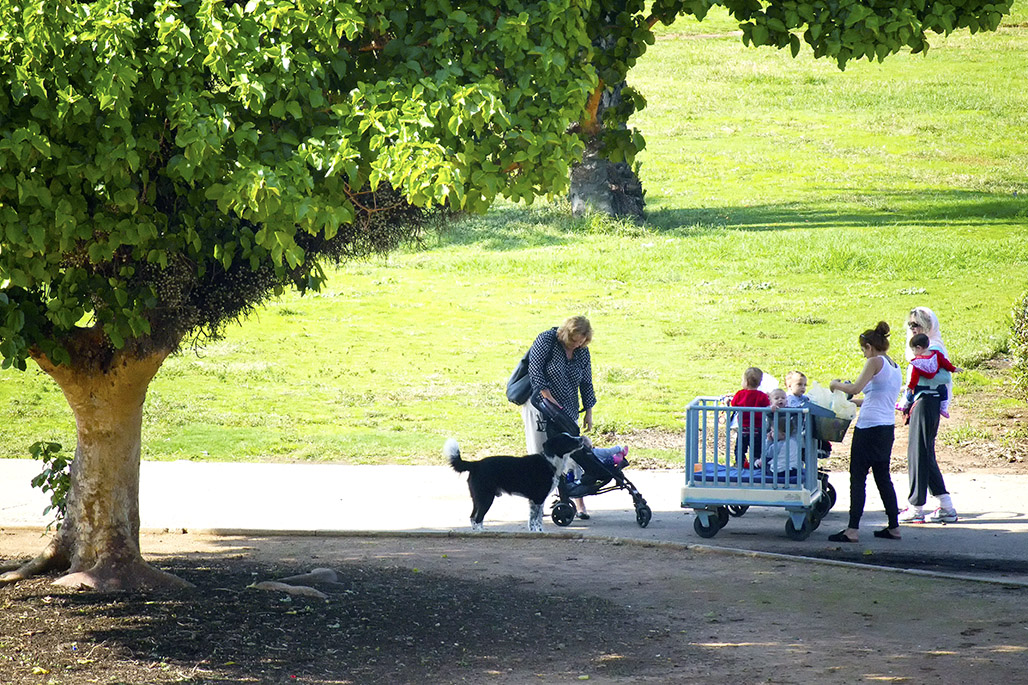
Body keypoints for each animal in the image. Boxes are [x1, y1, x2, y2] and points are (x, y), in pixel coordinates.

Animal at [448, 431, 592, 534]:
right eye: (567, 439)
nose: (581, 438)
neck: (549, 462)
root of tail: (475, 464)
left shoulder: (536, 500)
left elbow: (534, 518)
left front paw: (535, 532)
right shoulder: (538, 498)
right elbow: (536, 520)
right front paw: (539, 532)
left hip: (478, 498)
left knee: (473, 517)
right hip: (486, 498)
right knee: (478, 519)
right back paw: (482, 533)